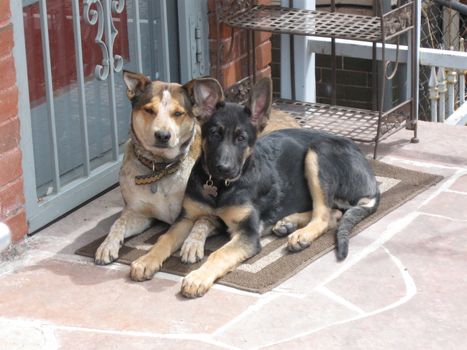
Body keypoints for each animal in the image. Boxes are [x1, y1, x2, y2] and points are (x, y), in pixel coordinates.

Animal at [129, 77, 380, 298]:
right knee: (335, 212)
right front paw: (146, 260)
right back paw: (287, 223)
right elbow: (165, 239)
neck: (219, 187)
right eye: (214, 134)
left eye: (241, 138)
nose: (223, 167)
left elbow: (219, 254)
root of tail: (371, 178)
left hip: (317, 152)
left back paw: (300, 235)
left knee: (325, 215)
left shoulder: (247, 234)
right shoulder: (187, 217)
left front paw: (198, 278)